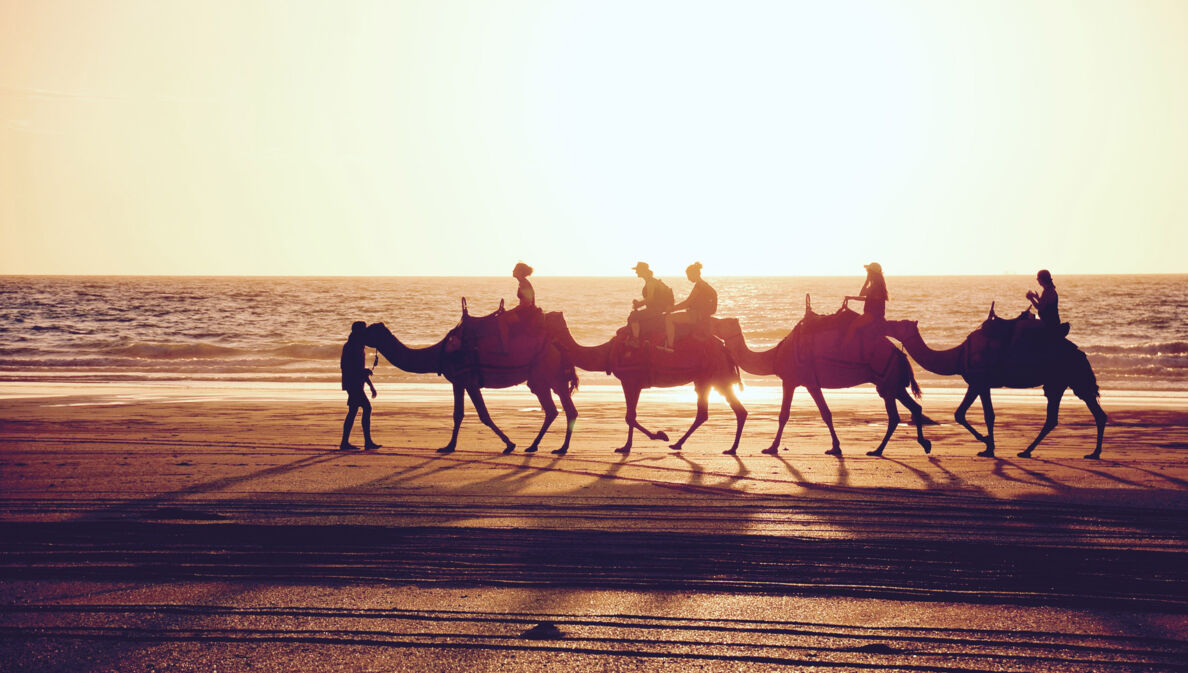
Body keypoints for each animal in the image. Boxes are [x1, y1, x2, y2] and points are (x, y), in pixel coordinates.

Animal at [365, 303, 579, 456]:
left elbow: (481, 414)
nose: (359, 329)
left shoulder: (467, 380)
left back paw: (549, 447)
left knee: (556, 409)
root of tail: (557, 343)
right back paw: (548, 447)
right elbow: (459, 414)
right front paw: (449, 446)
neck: (441, 353)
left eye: (371, 330)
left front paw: (509, 444)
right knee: (561, 410)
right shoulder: (460, 382)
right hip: (551, 378)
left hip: (546, 375)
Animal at [544, 313, 746, 456]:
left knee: (721, 410)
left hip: (713, 374)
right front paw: (631, 445)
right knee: (721, 411)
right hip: (710, 378)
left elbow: (629, 416)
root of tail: (724, 348)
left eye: (548, 318)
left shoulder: (629, 379)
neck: (607, 352)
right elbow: (631, 415)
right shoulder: (636, 383)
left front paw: (656, 436)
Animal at [708, 299, 931, 458]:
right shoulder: (809, 383)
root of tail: (901, 355)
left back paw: (879, 450)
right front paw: (835, 448)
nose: (709, 320)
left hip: (887, 381)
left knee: (895, 415)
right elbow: (825, 414)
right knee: (912, 408)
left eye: (721, 323)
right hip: (892, 384)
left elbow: (786, 415)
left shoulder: (793, 380)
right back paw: (921, 444)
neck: (775, 355)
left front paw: (771, 448)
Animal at [883, 306, 1102, 461]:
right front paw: (988, 445)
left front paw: (987, 445)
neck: (958, 355)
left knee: (1076, 412)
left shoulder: (979, 382)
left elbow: (978, 415)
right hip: (1061, 382)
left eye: (899, 324)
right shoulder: (978, 384)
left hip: (1066, 378)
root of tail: (1080, 353)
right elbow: (969, 414)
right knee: (1070, 415)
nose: (885, 323)